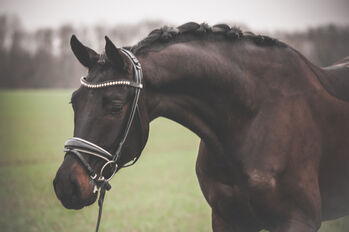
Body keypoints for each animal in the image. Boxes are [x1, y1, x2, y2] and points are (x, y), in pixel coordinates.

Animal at [52, 22, 348, 232]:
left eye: (114, 105)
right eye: (74, 102)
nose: (66, 185)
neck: (250, 118)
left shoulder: (298, 220)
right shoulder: (227, 219)